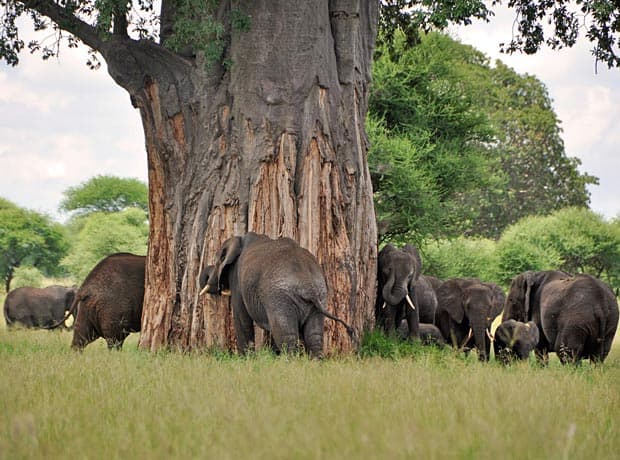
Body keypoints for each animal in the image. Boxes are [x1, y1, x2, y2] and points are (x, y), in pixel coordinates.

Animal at [199, 232, 354, 358]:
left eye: (217, 261)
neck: (239, 239)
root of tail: (308, 286)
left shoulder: (237, 279)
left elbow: (242, 318)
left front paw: (244, 360)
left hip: (280, 297)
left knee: (285, 334)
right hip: (319, 296)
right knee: (313, 335)